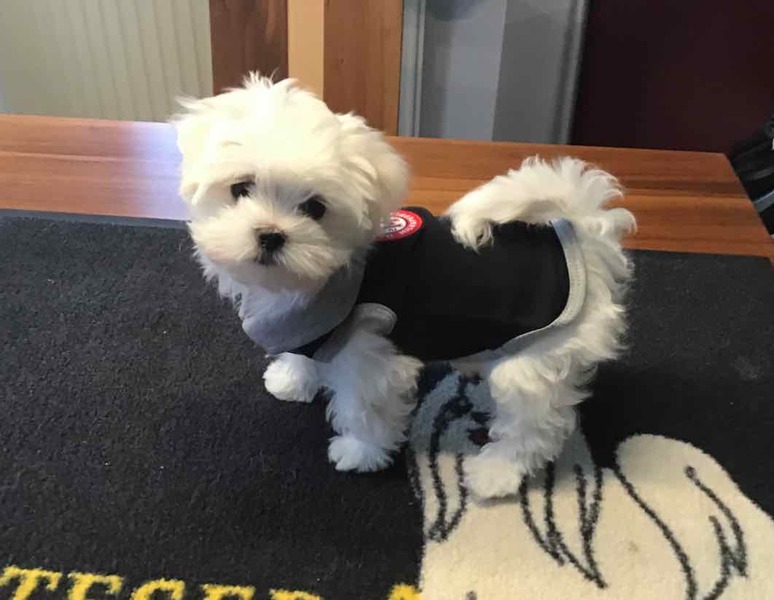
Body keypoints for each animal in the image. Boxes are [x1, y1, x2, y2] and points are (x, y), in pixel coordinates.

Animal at [173, 74, 635, 499]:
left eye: (315, 208)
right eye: (240, 188)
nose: (270, 234)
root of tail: (581, 242)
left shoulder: (369, 351)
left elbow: (365, 406)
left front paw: (360, 452)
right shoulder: (308, 325)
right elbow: (305, 354)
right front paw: (292, 378)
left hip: (539, 357)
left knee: (535, 425)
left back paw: (497, 473)